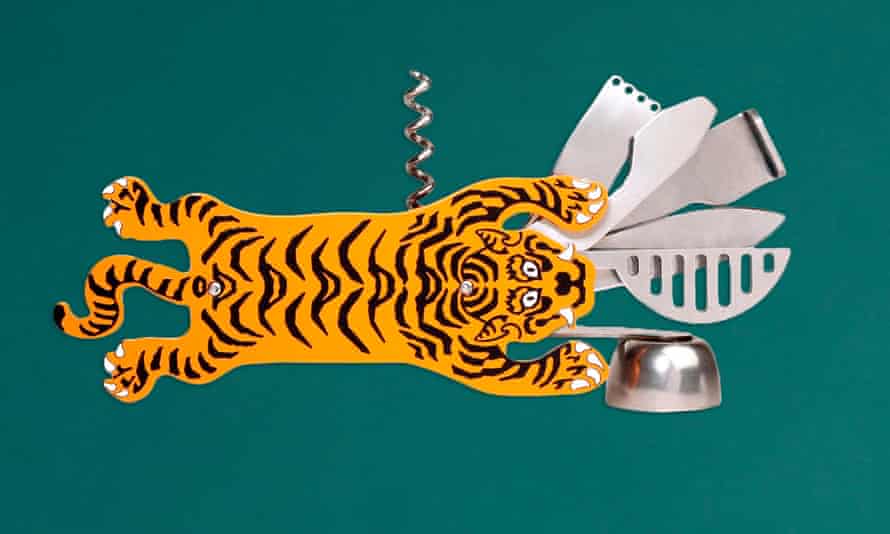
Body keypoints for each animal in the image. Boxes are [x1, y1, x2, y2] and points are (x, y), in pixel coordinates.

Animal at [53, 175, 610, 403]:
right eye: (533, 298)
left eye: (534, 266)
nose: (577, 280)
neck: (458, 281)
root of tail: (201, 283)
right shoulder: (464, 357)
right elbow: (520, 376)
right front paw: (576, 367)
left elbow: (518, 186)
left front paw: (573, 198)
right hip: (208, 353)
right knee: (168, 358)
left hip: (209, 228)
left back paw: (130, 208)